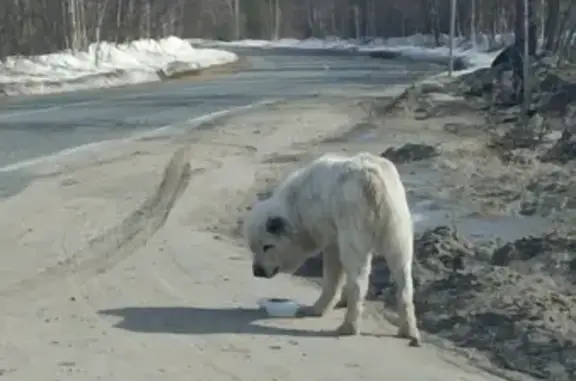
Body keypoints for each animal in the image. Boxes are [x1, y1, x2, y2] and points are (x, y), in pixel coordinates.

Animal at [244, 151, 424, 344]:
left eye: (267, 246)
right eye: (253, 248)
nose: (257, 271)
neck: (296, 206)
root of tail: (373, 181)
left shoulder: (330, 237)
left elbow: (333, 275)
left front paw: (318, 308)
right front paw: (341, 301)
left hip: (354, 224)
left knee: (358, 280)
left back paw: (348, 326)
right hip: (397, 228)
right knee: (403, 278)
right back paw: (409, 330)